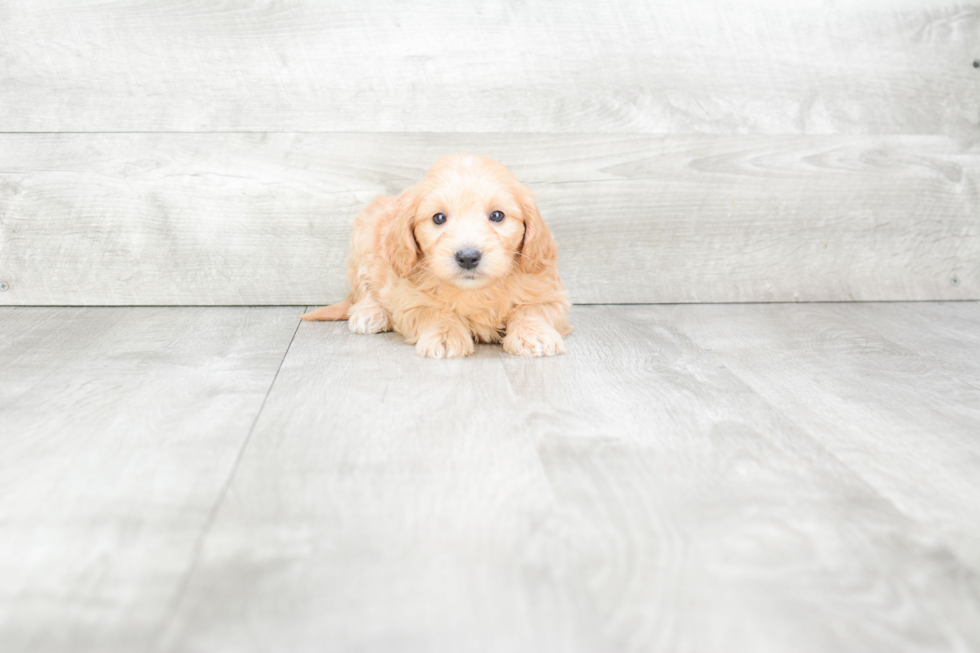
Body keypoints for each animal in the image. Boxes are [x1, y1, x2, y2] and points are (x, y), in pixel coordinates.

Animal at [302, 153, 572, 360]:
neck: (474, 291)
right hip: (364, 239)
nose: (468, 257)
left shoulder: (547, 291)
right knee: (364, 290)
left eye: (497, 216)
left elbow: (533, 309)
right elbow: (434, 312)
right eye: (439, 218)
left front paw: (534, 334)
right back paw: (370, 313)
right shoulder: (410, 299)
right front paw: (445, 336)